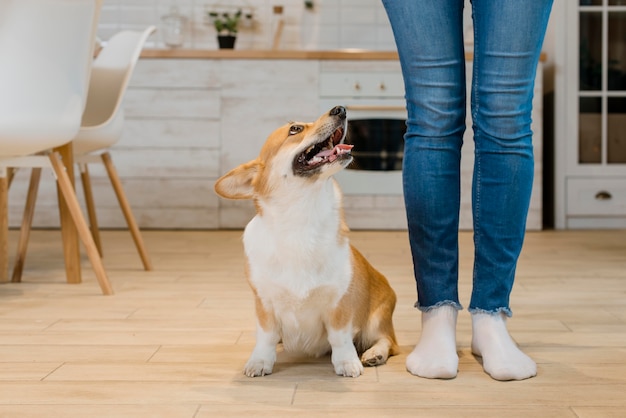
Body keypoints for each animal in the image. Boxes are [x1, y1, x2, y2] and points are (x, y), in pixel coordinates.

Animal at [214, 106, 398, 378]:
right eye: (295, 129)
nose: (341, 109)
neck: (302, 217)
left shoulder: (339, 302)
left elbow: (340, 338)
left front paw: (347, 363)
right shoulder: (264, 302)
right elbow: (266, 337)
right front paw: (260, 361)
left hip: (377, 318)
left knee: (388, 341)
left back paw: (375, 354)